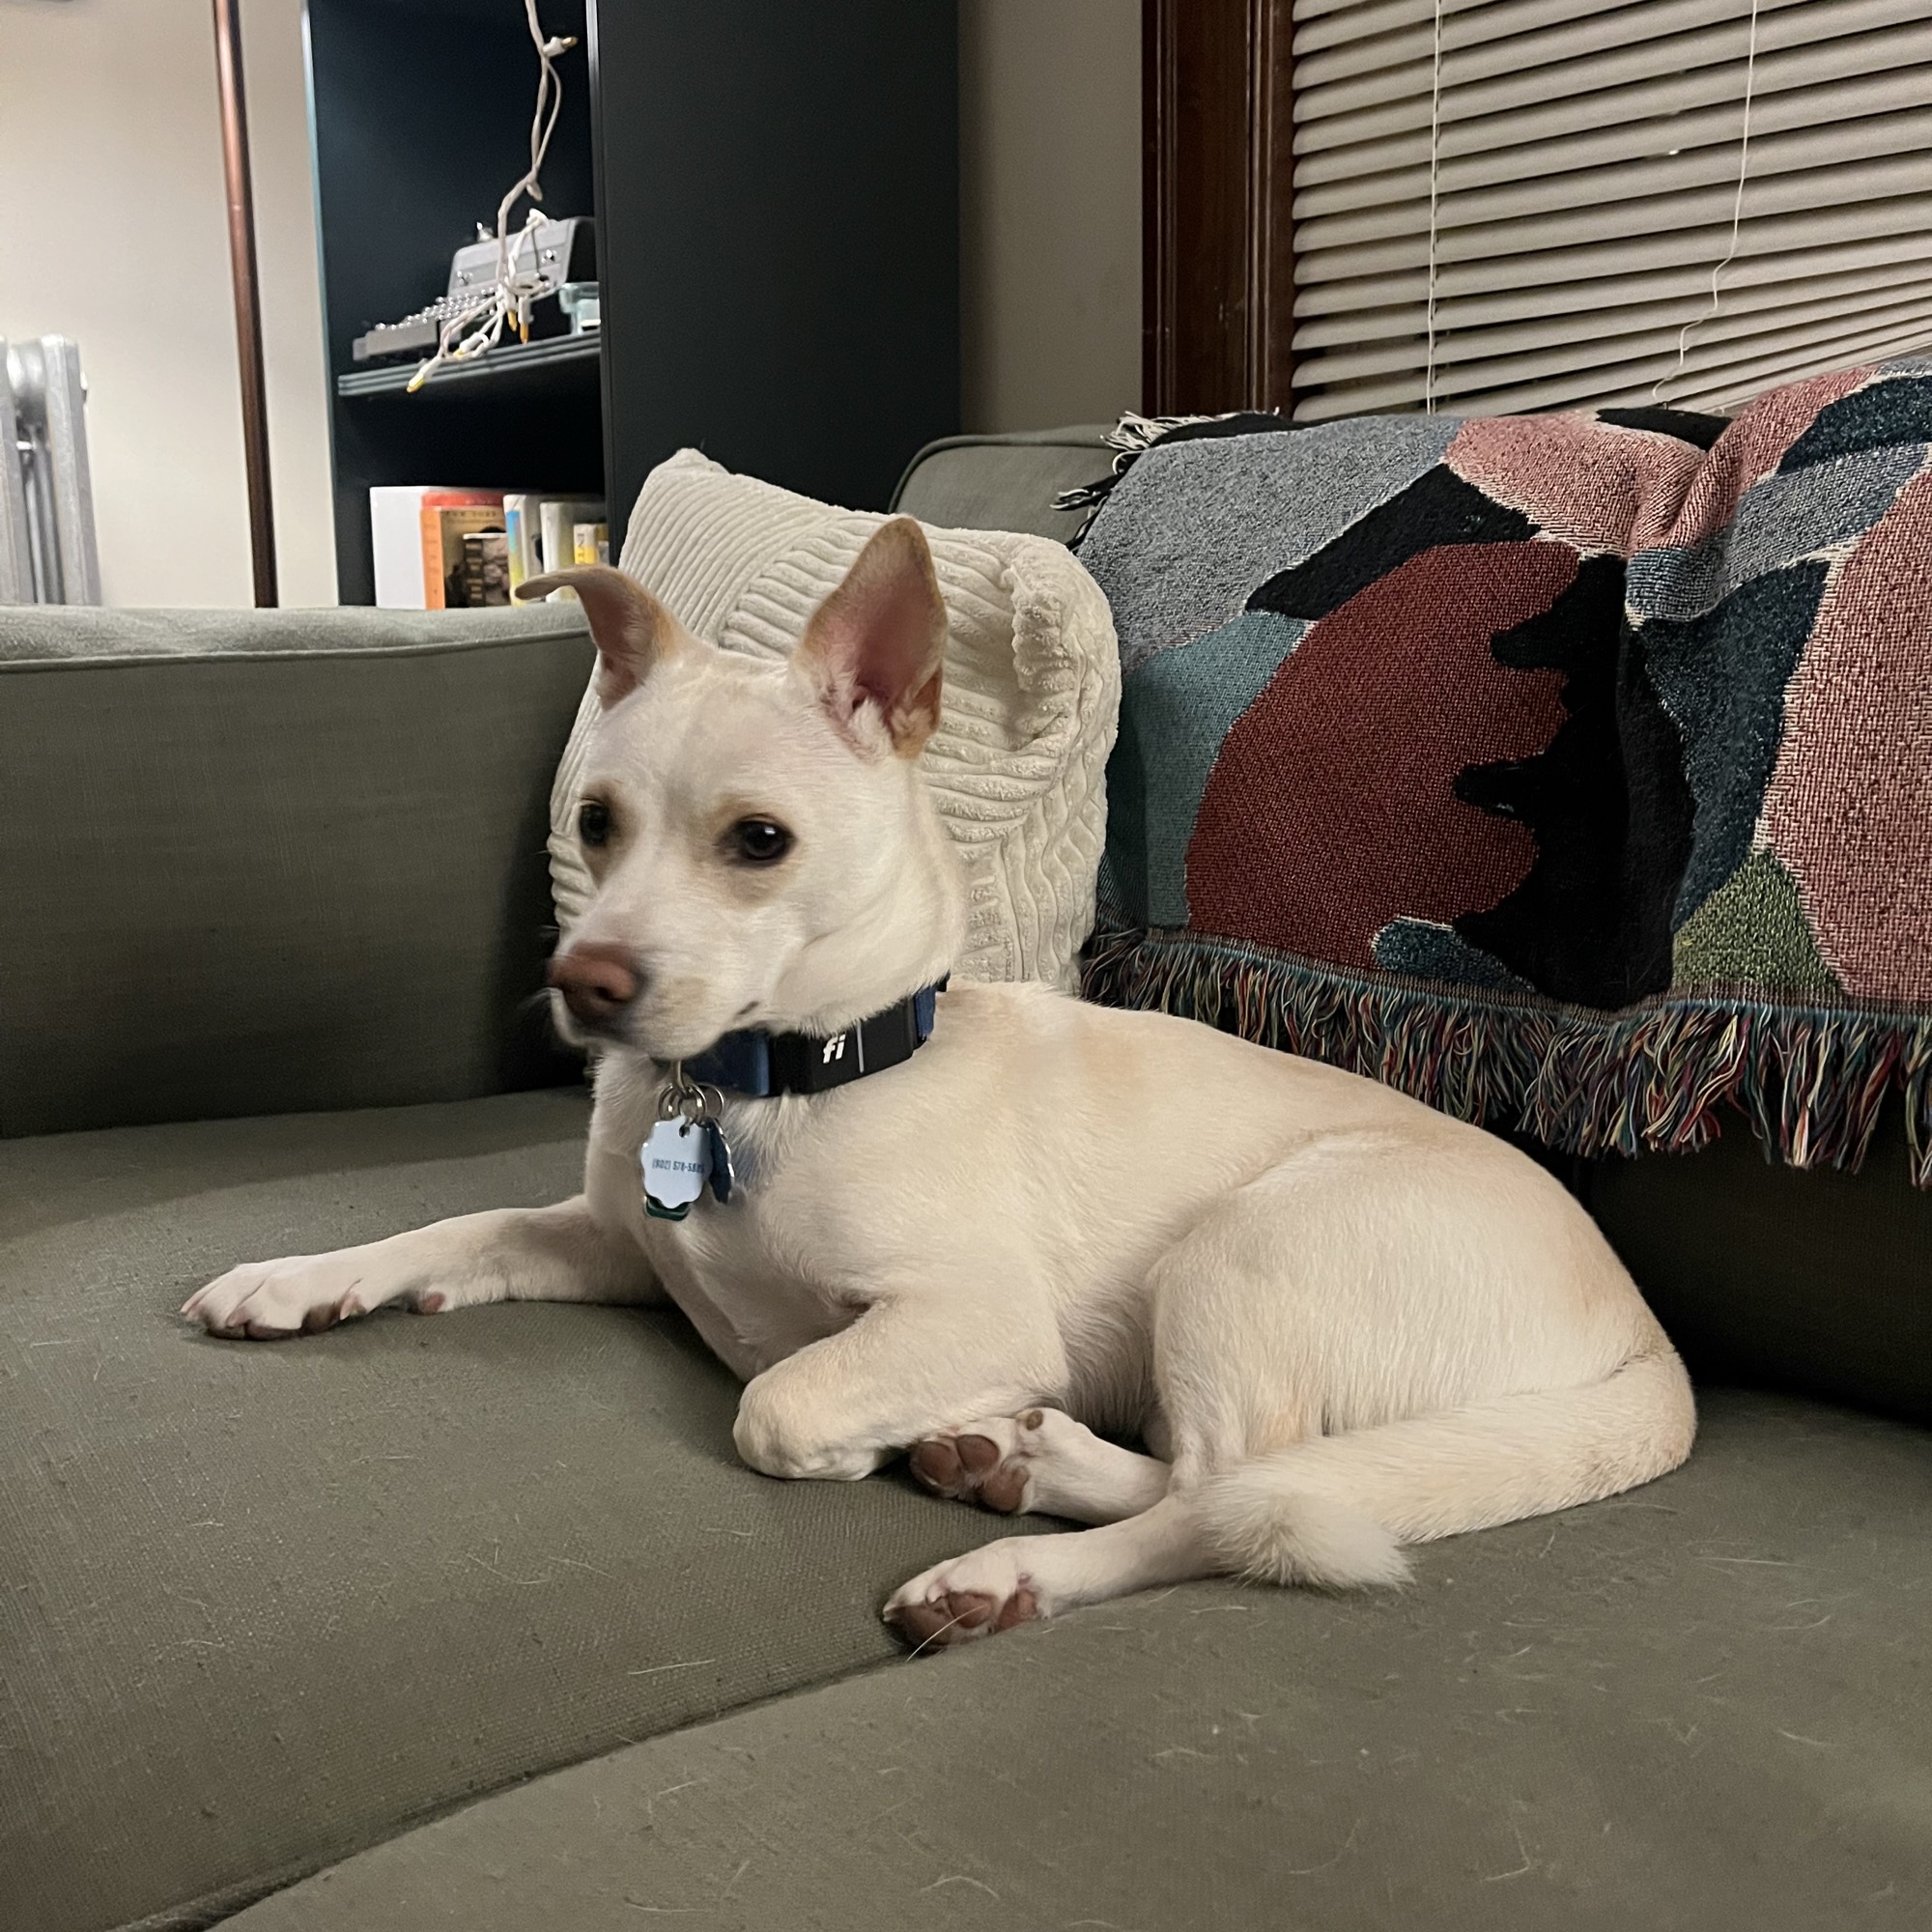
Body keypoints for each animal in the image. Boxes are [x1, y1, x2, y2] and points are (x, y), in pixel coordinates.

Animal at [183, 517, 1696, 1647]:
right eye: (594, 825)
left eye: (760, 842)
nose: (585, 984)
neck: (770, 1083)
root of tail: (1651, 1352)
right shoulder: (613, 1241)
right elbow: (464, 1226)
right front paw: (301, 1277)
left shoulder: (967, 1314)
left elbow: (776, 1401)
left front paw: (854, 1434)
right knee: (1212, 1476)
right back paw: (1017, 1461)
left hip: (1243, 1248)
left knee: (1228, 1495)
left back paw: (1005, 1562)